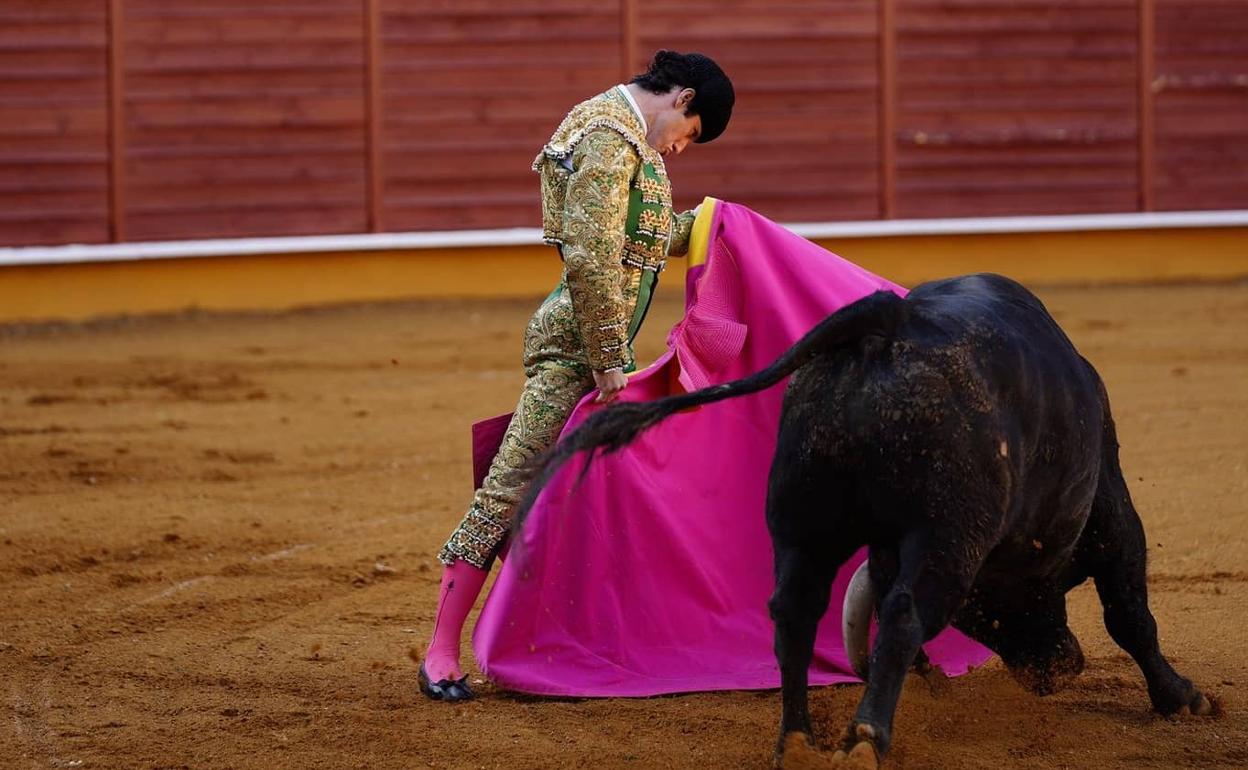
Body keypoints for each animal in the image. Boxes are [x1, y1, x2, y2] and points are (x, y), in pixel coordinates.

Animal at [506, 274, 1208, 763]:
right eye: (987, 620)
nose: (1056, 671)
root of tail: (887, 319)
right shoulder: (1112, 511)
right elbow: (1131, 614)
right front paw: (1184, 699)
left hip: (802, 523)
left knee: (793, 611)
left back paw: (797, 740)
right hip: (944, 534)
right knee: (901, 614)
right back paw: (868, 738)